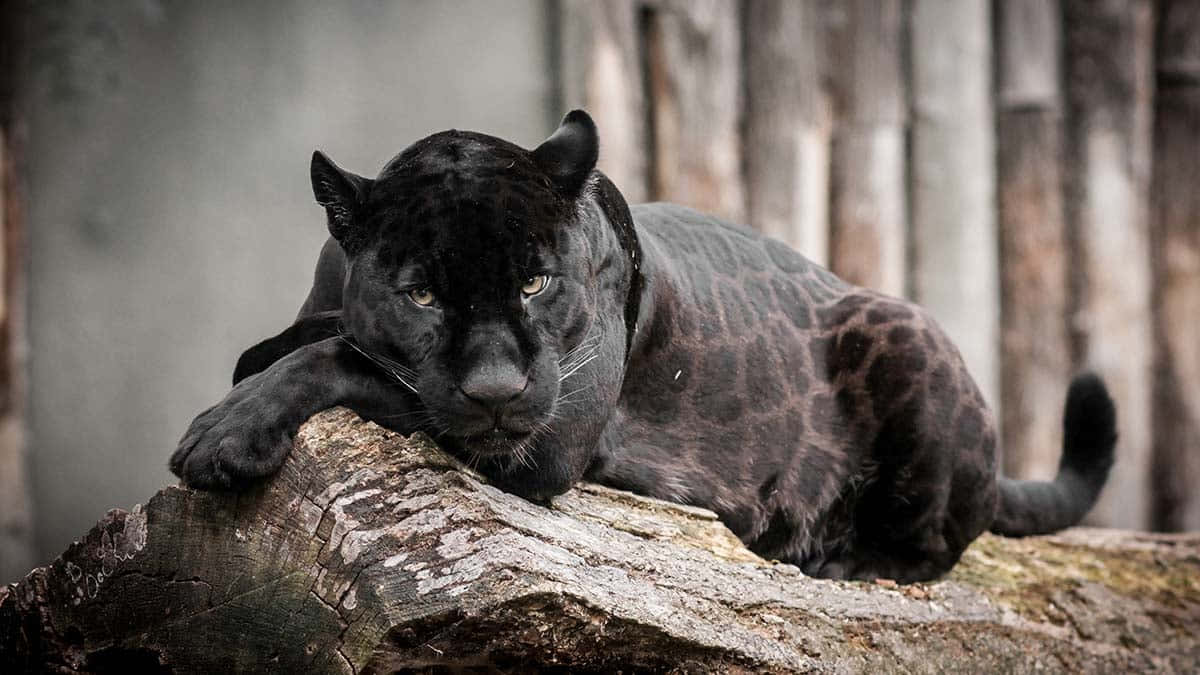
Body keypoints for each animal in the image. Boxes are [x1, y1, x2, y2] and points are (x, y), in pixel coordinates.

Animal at [169, 109, 1113, 578]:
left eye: (535, 282)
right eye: (423, 293)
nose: (497, 389)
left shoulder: (544, 437)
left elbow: (352, 360)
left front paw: (222, 436)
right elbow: (316, 342)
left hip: (905, 332)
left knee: (930, 549)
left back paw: (821, 556)